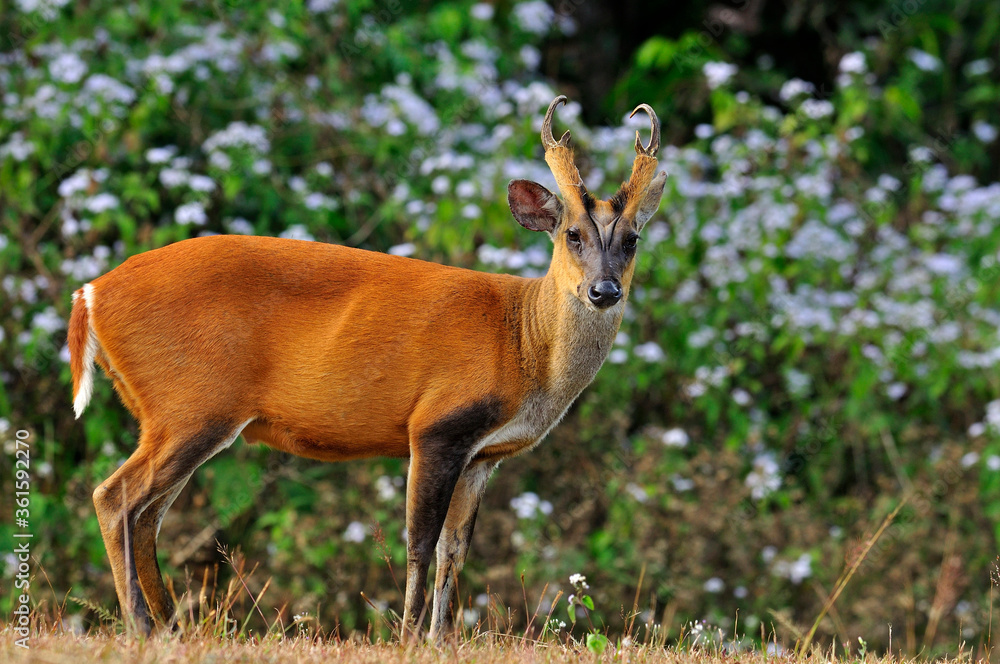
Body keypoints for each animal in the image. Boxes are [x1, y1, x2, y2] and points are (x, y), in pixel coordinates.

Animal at [68, 96, 664, 640]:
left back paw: (171, 628)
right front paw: (408, 639)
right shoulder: (437, 424)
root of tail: (90, 295)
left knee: (146, 513)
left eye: (633, 239)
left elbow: (454, 551)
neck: (523, 341)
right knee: (116, 498)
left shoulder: (482, 455)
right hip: (191, 402)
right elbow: (421, 543)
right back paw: (141, 627)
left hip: (172, 411)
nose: (604, 291)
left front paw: (440, 640)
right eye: (572, 234)